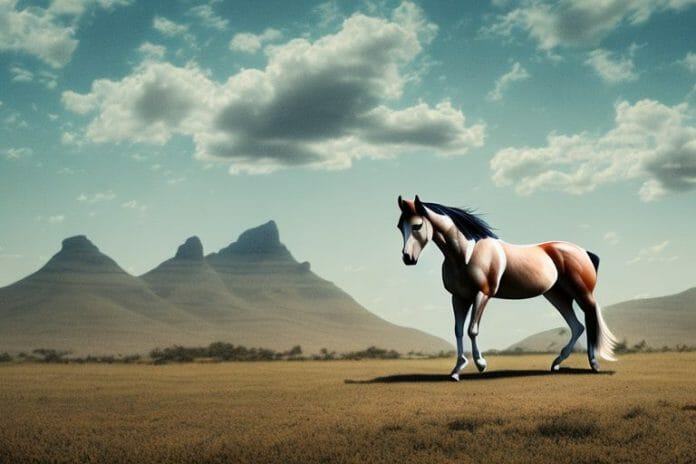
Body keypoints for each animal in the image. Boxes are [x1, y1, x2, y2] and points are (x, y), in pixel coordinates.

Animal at [397, 195, 617, 380]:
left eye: (417, 225)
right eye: (400, 226)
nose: (408, 258)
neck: (466, 254)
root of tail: (584, 252)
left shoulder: (482, 294)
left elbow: (472, 330)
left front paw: (481, 364)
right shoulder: (459, 297)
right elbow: (458, 330)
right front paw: (457, 370)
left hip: (581, 293)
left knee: (590, 318)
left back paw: (594, 364)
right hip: (556, 295)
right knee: (577, 326)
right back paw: (556, 364)